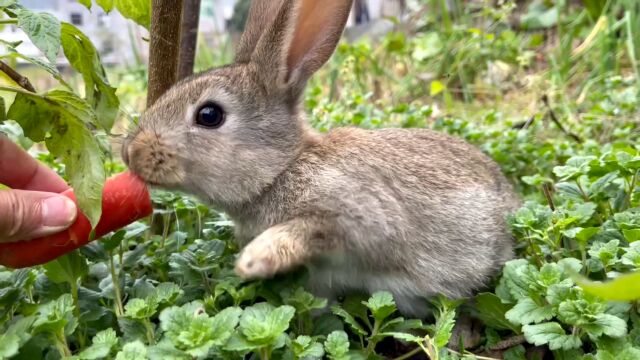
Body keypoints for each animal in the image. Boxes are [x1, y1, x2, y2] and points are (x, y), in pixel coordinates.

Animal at [122, 0, 524, 316]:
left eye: (209, 115)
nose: (131, 153)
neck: (283, 168)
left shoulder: (358, 214)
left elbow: (312, 229)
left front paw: (254, 260)